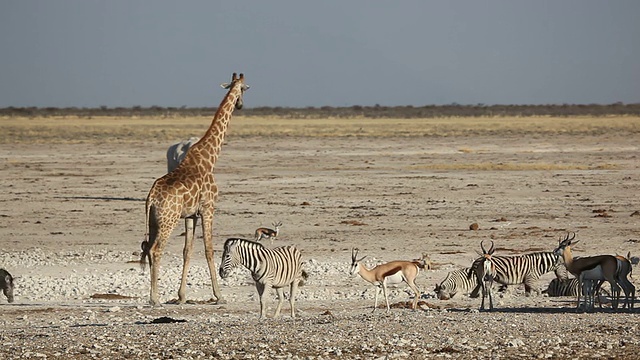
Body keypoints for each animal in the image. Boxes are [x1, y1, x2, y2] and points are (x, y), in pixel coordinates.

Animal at [141, 71, 249, 306]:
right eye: (245, 89)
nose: (240, 105)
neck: (210, 158)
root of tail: (151, 198)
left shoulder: (191, 214)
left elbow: (187, 250)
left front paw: (181, 296)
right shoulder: (208, 208)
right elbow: (209, 249)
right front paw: (219, 295)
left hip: (153, 221)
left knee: (147, 248)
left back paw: (154, 295)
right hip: (168, 220)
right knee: (155, 250)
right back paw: (155, 298)